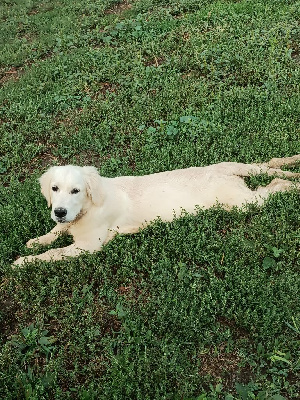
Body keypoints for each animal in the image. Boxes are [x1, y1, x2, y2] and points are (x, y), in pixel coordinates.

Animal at [14, 154, 300, 266]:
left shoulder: (88, 246)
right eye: (54, 188)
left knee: (275, 185)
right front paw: (36, 241)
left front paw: (23, 262)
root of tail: (226, 173)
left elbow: (53, 253)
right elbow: (54, 233)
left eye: (76, 190)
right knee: (271, 165)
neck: (88, 207)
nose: (60, 211)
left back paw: (292, 185)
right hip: (242, 170)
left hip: (242, 202)